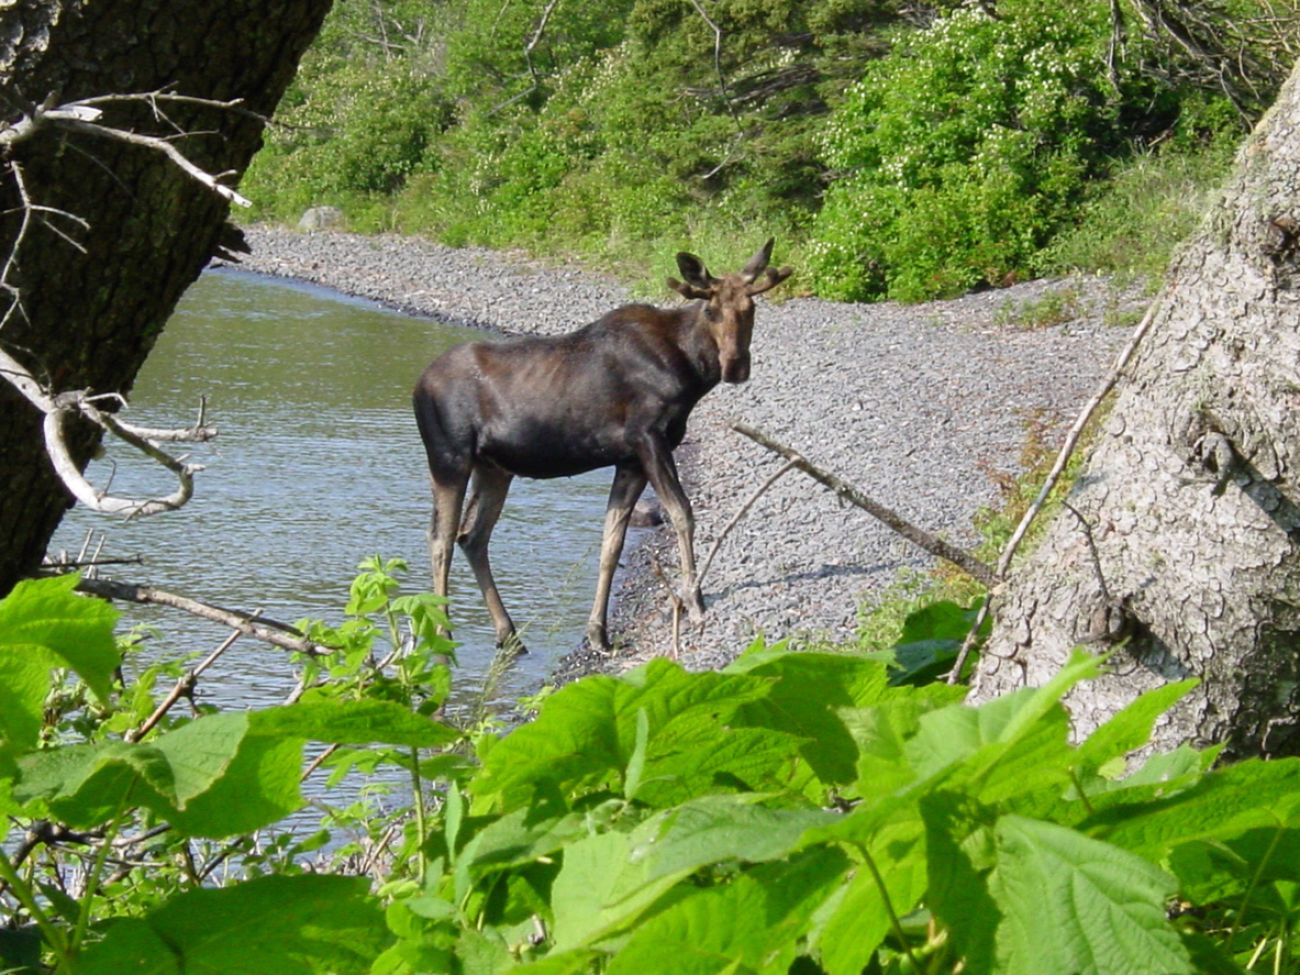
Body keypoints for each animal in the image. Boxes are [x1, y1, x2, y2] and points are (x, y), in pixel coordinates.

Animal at [410, 243, 790, 657]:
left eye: (750, 309)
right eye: (710, 310)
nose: (735, 365)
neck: (691, 373)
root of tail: (417, 387)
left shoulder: (630, 459)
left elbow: (612, 542)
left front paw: (598, 631)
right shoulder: (649, 437)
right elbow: (682, 513)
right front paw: (695, 600)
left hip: (494, 468)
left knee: (472, 537)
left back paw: (508, 634)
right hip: (449, 457)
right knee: (440, 539)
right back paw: (443, 635)